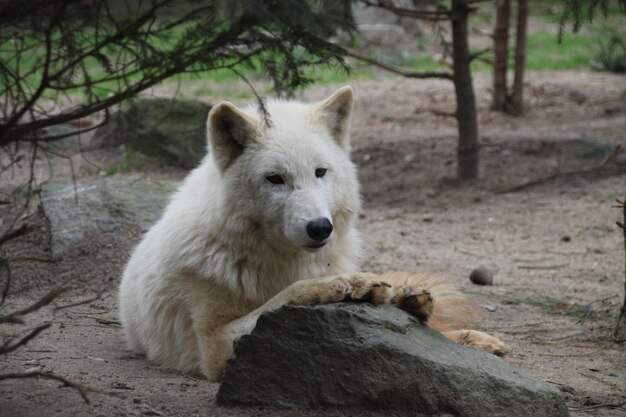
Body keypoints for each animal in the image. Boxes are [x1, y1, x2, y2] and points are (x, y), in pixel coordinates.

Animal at [118, 85, 508, 380]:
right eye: (274, 178)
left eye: (320, 172)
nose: (320, 227)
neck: (279, 261)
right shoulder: (214, 344)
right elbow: (289, 294)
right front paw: (350, 286)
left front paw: (406, 299)